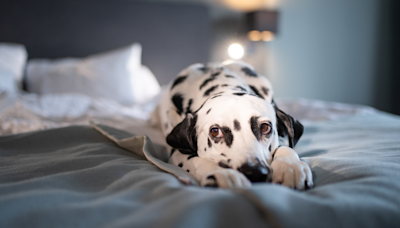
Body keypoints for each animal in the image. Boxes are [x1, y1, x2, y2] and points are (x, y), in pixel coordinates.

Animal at [152, 60, 314, 189]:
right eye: (215, 131)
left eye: (265, 127)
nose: (255, 172)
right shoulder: (176, 152)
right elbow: (195, 160)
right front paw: (223, 173)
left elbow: (285, 147)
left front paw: (290, 167)